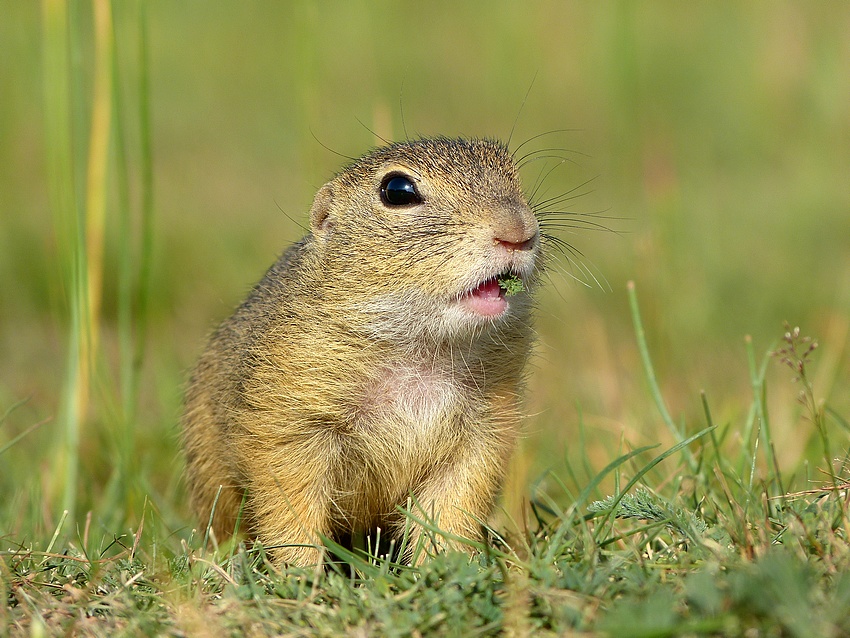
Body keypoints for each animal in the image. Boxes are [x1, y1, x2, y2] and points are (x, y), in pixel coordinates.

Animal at [182, 136, 540, 566]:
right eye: (397, 191)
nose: (518, 231)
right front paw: (299, 573)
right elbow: (290, 504)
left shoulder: (484, 432)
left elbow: (454, 507)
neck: (423, 348)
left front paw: (444, 566)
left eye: (514, 176)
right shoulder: (289, 419)